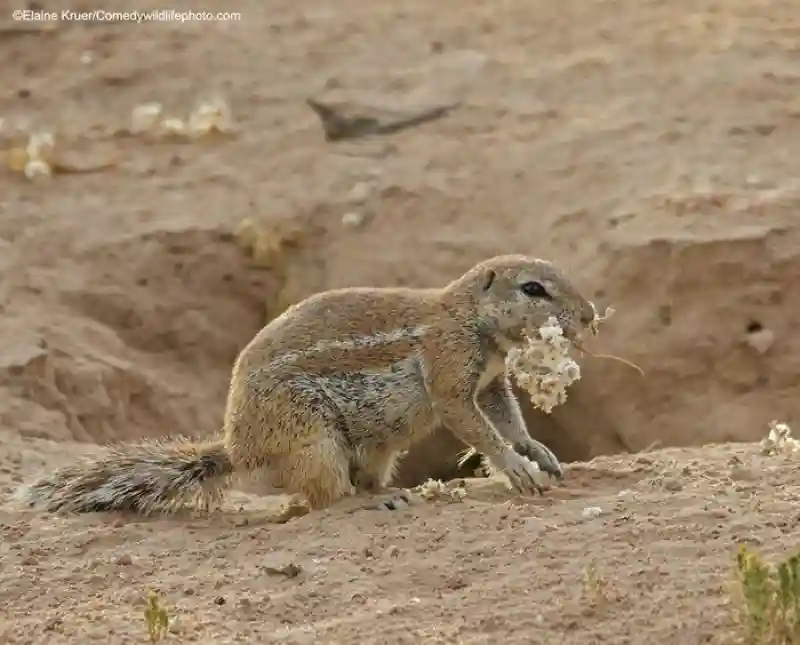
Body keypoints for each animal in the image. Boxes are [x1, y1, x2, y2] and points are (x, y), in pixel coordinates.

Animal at [17, 254, 600, 516]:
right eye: (533, 289)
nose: (590, 314)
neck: (467, 316)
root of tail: (238, 449)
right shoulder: (450, 372)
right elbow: (475, 425)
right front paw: (515, 469)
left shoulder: (492, 382)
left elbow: (507, 418)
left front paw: (538, 452)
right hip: (314, 437)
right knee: (323, 499)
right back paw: (368, 504)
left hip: (374, 448)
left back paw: (389, 491)